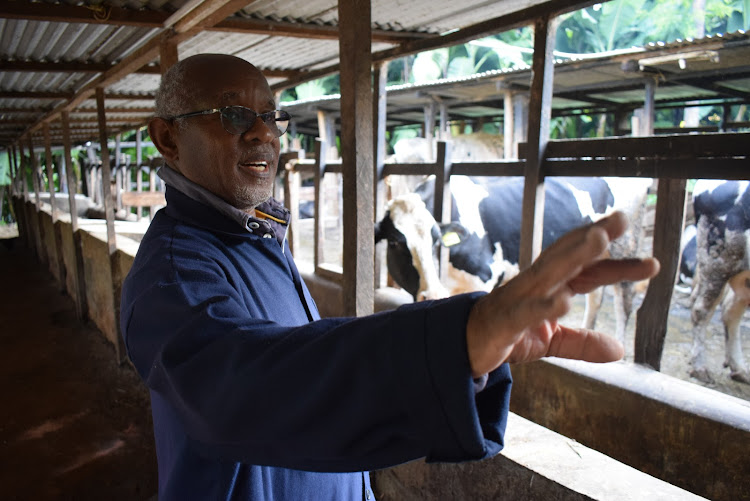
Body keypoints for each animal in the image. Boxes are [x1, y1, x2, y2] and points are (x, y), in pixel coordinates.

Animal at [374, 174, 656, 342]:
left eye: (435, 241)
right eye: (395, 242)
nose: (432, 294)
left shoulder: (485, 277)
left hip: (626, 246)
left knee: (623, 301)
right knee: (596, 296)